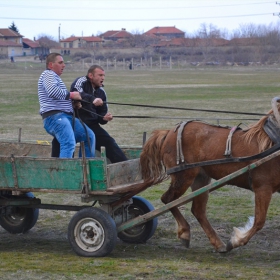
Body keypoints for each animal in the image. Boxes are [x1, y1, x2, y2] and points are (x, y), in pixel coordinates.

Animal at [140, 104, 280, 253]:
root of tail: (168, 132)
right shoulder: (263, 187)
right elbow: (259, 221)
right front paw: (236, 241)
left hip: (200, 179)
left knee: (198, 210)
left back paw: (217, 243)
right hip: (183, 177)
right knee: (168, 199)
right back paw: (185, 232)